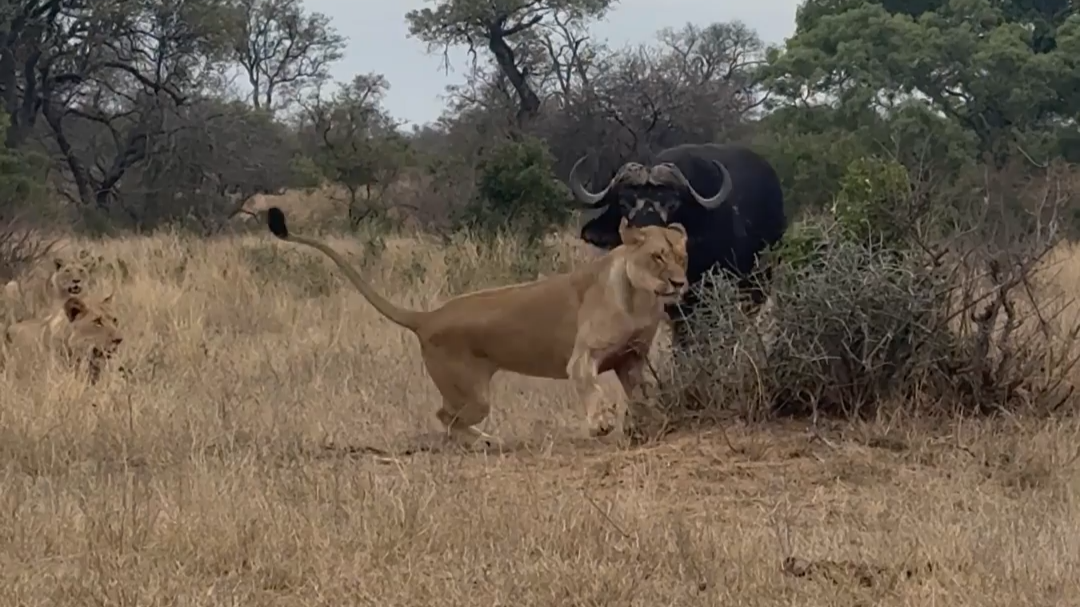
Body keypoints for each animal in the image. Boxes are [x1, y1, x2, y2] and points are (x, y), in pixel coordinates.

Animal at [265, 206, 688, 449]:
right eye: (657, 256)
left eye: (683, 256)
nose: (680, 282)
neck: (642, 299)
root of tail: (428, 316)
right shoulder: (582, 356)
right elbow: (590, 386)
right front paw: (600, 423)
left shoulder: (631, 359)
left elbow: (642, 396)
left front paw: (647, 425)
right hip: (473, 395)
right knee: (445, 417)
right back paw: (486, 440)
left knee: (447, 419)